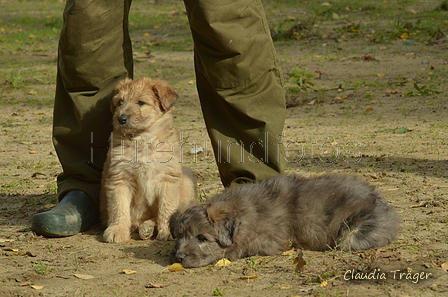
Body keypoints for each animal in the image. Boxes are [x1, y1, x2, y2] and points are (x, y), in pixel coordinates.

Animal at [100, 77, 197, 242]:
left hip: (187, 180)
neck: (142, 140)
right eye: (120, 102)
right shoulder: (119, 178)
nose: (121, 118)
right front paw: (117, 230)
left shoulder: (168, 178)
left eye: (141, 102)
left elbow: (167, 208)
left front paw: (167, 231)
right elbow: (119, 207)